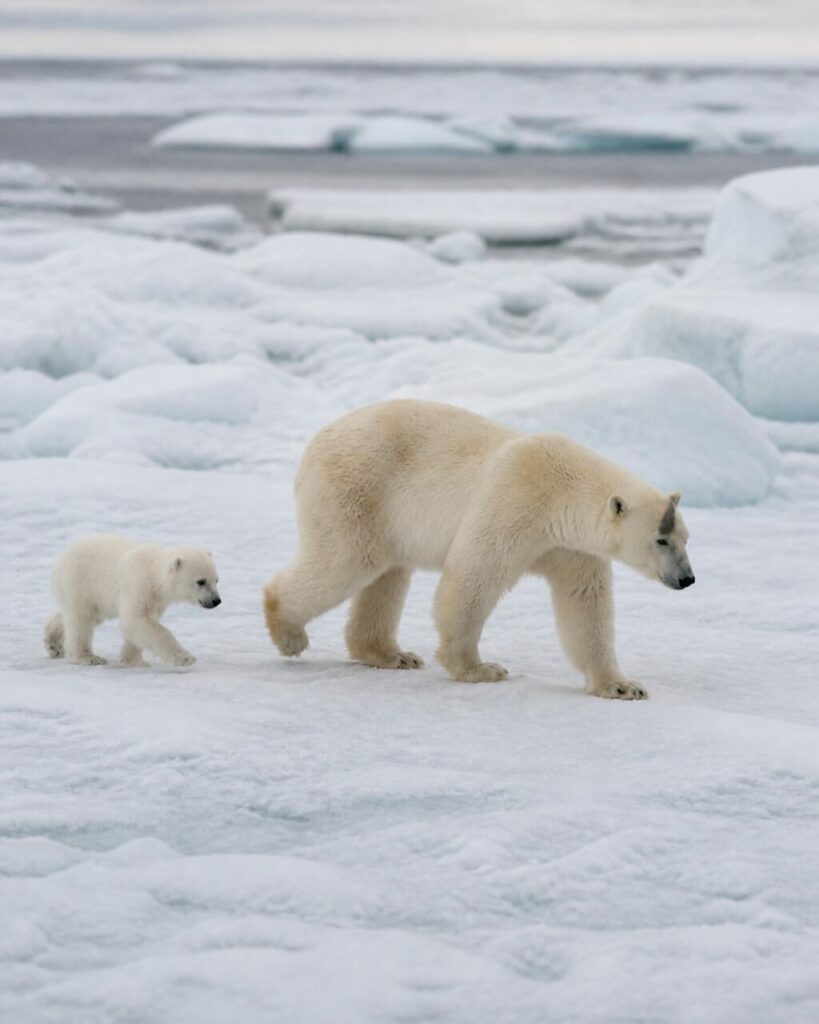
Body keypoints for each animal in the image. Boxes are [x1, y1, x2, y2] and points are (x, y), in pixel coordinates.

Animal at [44, 534, 221, 668]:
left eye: (216, 580)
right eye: (201, 581)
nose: (216, 601)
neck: (154, 574)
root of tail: (62, 559)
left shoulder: (156, 600)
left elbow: (137, 626)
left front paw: (133, 662)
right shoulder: (139, 586)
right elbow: (136, 619)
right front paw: (185, 658)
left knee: (83, 616)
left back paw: (53, 644)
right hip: (81, 582)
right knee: (82, 619)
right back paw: (88, 657)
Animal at [263, 399, 695, 700]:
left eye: (686, 538)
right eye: (661, 539)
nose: (687, 579)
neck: (561, 492)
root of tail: (317, 441)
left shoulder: (571, 547)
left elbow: (585, 604)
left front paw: (622, 686)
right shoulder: (514, 502)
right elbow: (474, 577)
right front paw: (480, 669)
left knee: (388, 574)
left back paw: (392, 654)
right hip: (358, 488)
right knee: (347, 560)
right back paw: (288, 632)